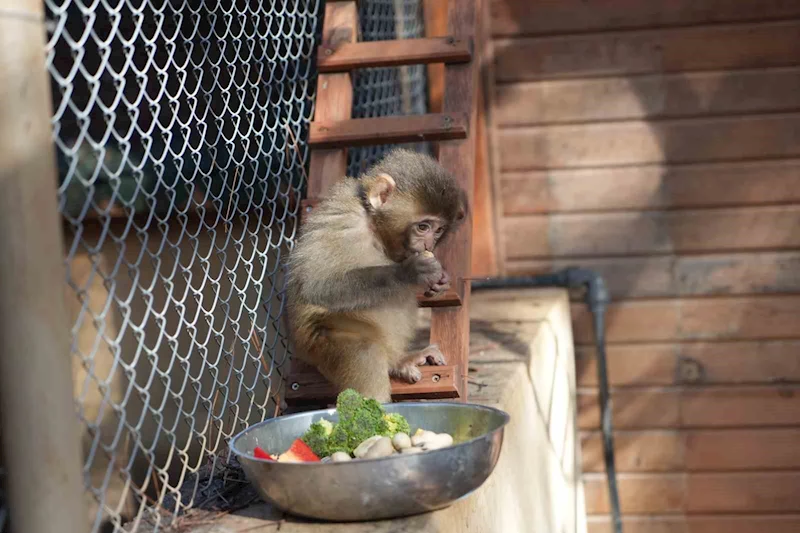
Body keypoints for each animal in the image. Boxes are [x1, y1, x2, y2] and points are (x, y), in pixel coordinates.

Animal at [286, 148, 468, 402]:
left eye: (439, 229)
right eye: (423, 227)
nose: (429, 244)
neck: (373, 227)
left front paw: (441, 281)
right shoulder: (344, 220)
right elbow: (317, 286)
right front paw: (409, 272)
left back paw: (398, 361)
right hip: (317, 345)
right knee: (364, 350)